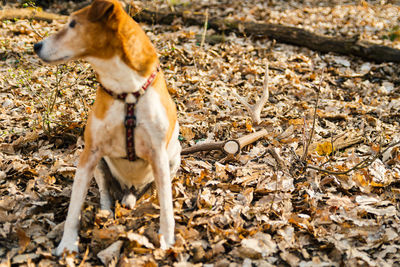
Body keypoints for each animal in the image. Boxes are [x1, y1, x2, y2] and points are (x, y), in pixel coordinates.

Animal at [34, 0, 181, 256]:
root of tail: (129, 190)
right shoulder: (89, 154)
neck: (126, 90)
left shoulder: (159, 155)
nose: (36, 45)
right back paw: (106, 211)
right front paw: (67, 244)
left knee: (154, 191)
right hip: (101, 165)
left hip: (175, 157)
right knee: (105, 193)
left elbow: (166, 204)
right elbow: (74, 206)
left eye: (73, 24)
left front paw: (167, 238)